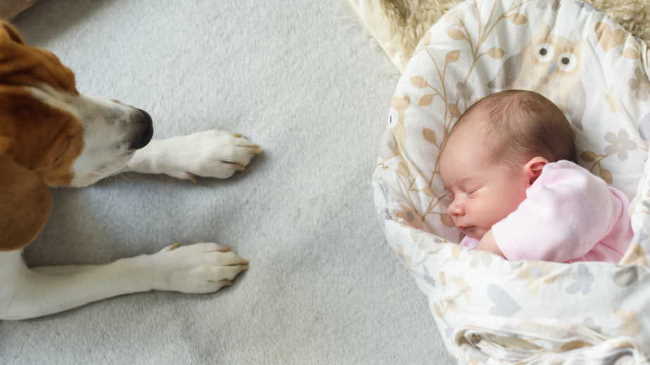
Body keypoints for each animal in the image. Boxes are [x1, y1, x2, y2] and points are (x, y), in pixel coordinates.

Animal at [0, 22, 258, 318]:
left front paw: (199, 150)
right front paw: (187, 266)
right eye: (62, 145)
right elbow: (106, 275)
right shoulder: (17, 297)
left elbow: (122, 159)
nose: (146, 125)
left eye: (72, 79)